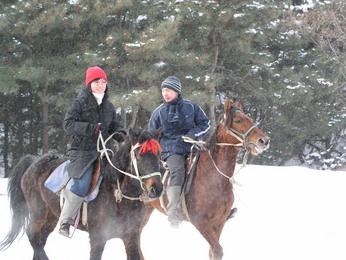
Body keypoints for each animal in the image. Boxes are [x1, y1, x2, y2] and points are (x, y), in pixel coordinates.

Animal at [0, 128, 164, 260]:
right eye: (139, 155)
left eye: (159, 155)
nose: (157, 189)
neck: (117, 196)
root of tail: (34, 161)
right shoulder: (98, 238)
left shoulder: (131, 237)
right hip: (38, 212)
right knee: (33, 237)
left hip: (51, 217)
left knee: (40, 240)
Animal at [150, 99, 268, 260]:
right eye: (237, 120)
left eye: (250, 119)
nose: (264, 141)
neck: (214, 180)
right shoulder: (200, 221)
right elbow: (217, 250)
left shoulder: (219, 221)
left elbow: (213, 251)